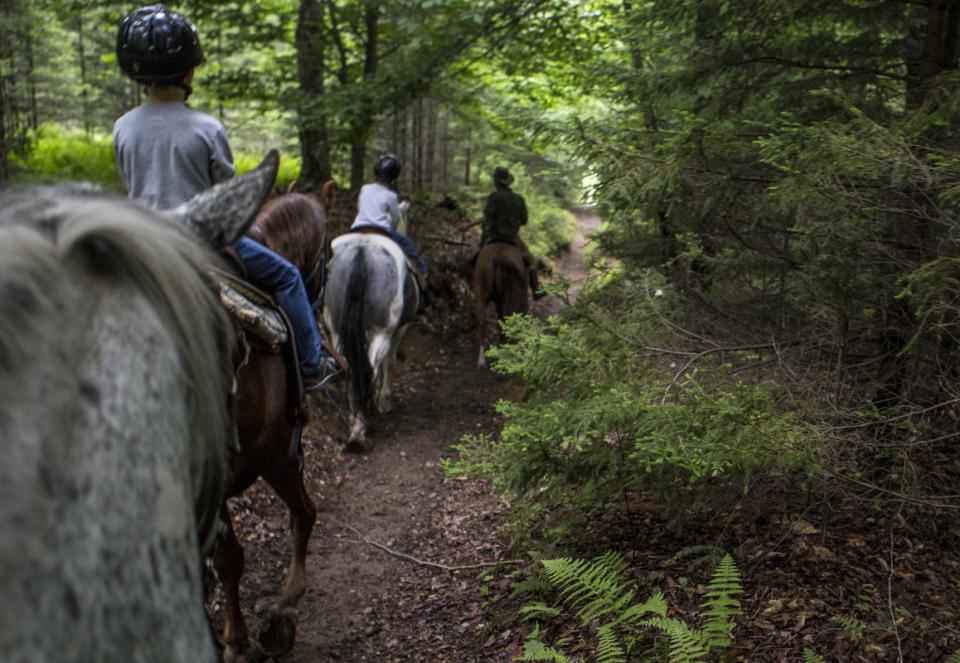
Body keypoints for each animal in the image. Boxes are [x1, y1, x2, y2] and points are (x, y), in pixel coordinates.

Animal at [324, 232, 418, 452]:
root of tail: (361, 251)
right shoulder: (398, 330)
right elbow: (389, 362)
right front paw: (384, 401)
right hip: (382, 333)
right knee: (370, 369)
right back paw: (363, 425)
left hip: (338, 331)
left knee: (349, 369)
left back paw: (356, 424)